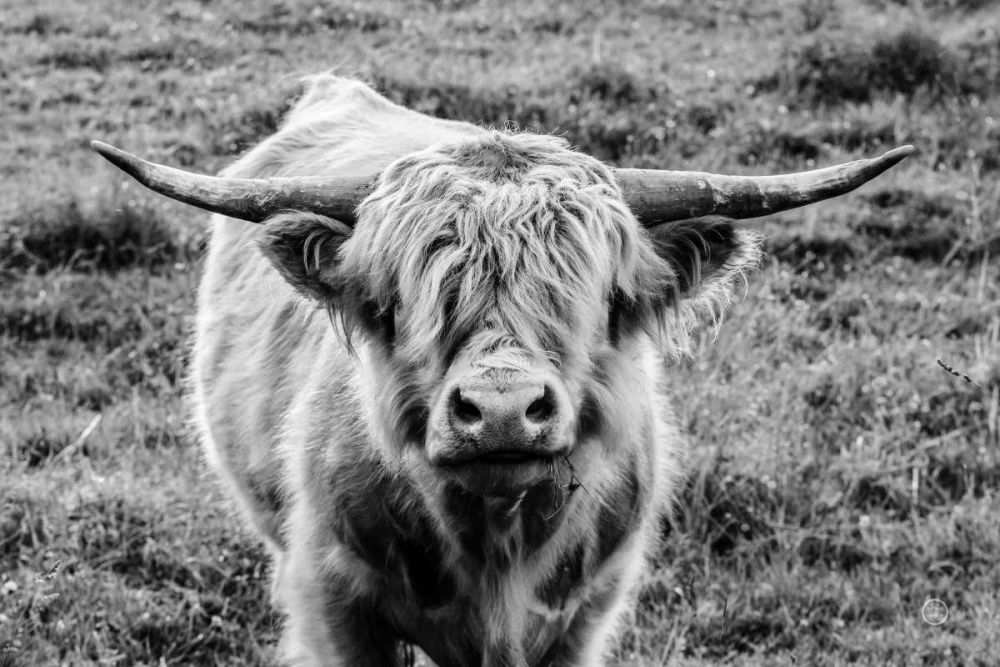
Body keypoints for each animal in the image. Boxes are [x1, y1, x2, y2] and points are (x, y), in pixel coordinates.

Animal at [92, 74, 911, 667]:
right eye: (404, 297)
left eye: (597, 296)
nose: (503, 410)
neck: (496, 548)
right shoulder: (333, 601)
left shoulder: (587, 614)